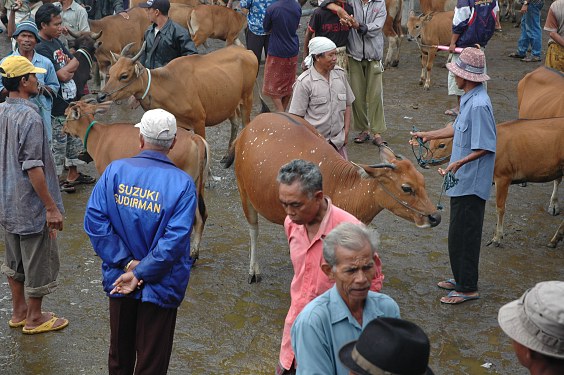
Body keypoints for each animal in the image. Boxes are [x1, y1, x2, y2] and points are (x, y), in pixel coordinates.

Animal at [62, 100, 212, 262]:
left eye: (66, 115)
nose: (63, 129)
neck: (99, 136)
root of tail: (195, 138)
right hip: (198, 183)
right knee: (202, 215)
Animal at [225, 113, 440, 284]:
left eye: (423, 181)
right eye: (407, 188)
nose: (435, 217)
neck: (341, 188)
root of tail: (246, 130)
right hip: (244, 191)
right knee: (253, 229)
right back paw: (254, 271)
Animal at [414, 117, 564, 247]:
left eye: (441, 145)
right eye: (430, 143)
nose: (423, 161)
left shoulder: (503, 178)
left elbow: (500, 208)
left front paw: (497, 237)